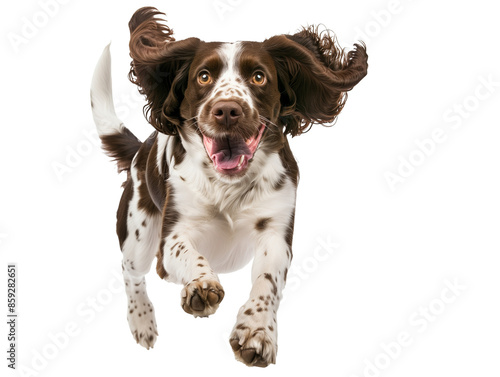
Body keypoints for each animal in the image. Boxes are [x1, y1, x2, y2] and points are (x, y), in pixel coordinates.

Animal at [90, 6, 368, 368]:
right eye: (204, 77)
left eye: (259, 77)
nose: (227, 110)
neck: (229, 187)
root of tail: (141, 148)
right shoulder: (172, 237)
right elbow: (188, 255)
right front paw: (201, 287)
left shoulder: (276, 233)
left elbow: (268, 283)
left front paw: (257, 331)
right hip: (139, 234)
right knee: (131, 273)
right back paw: (142, 322)